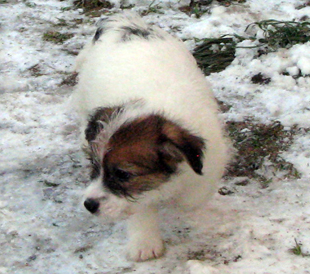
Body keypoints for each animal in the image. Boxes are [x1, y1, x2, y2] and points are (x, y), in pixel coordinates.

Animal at [72, 11, 228, 262]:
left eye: (123, 174)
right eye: (95, 167)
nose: (89, 204)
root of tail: (122, 22)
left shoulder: (211, 158)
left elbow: (193, 196)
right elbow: (141, 206)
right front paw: (144, 242)